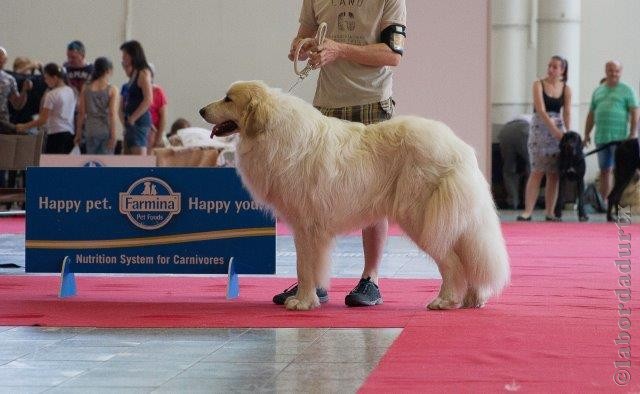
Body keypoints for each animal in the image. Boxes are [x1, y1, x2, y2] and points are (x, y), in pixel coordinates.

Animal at [200, 81, 510, 310]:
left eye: (228, 99)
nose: (201, 109)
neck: (272, 130)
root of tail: (460, 149)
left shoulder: (306, 225)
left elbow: (304, 267)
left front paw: (301, 302)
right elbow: (311, 267)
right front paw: (308, 298)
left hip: (422, 219)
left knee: (452, 262)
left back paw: (445, 300)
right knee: (469, 257)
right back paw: (473, 299)